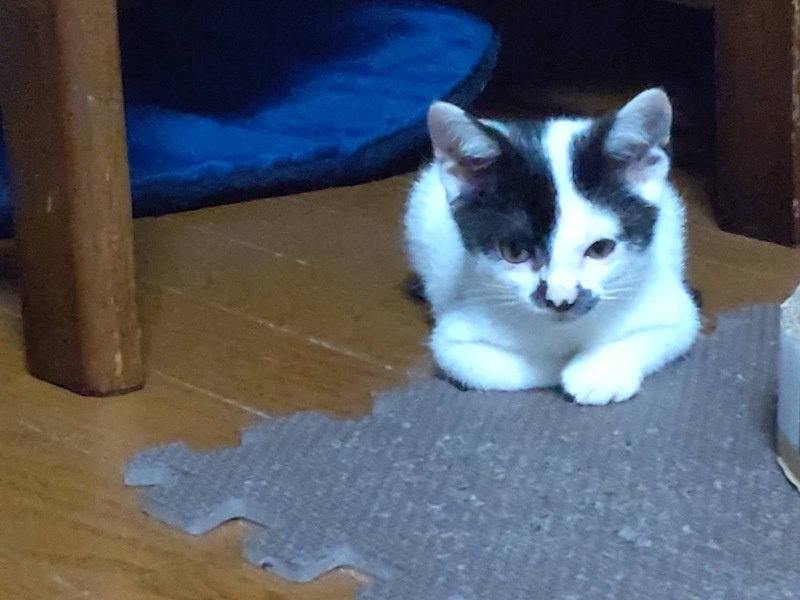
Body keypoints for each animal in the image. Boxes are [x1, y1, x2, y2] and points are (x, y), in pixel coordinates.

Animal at [403, 88, 700, 405]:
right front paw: (560, 365)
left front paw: (597, 372)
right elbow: (491, 365)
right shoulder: (455, 333)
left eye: (600, 249)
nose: (560, 301)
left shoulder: (673, 307)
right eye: (514, 251)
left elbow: (665, 331)